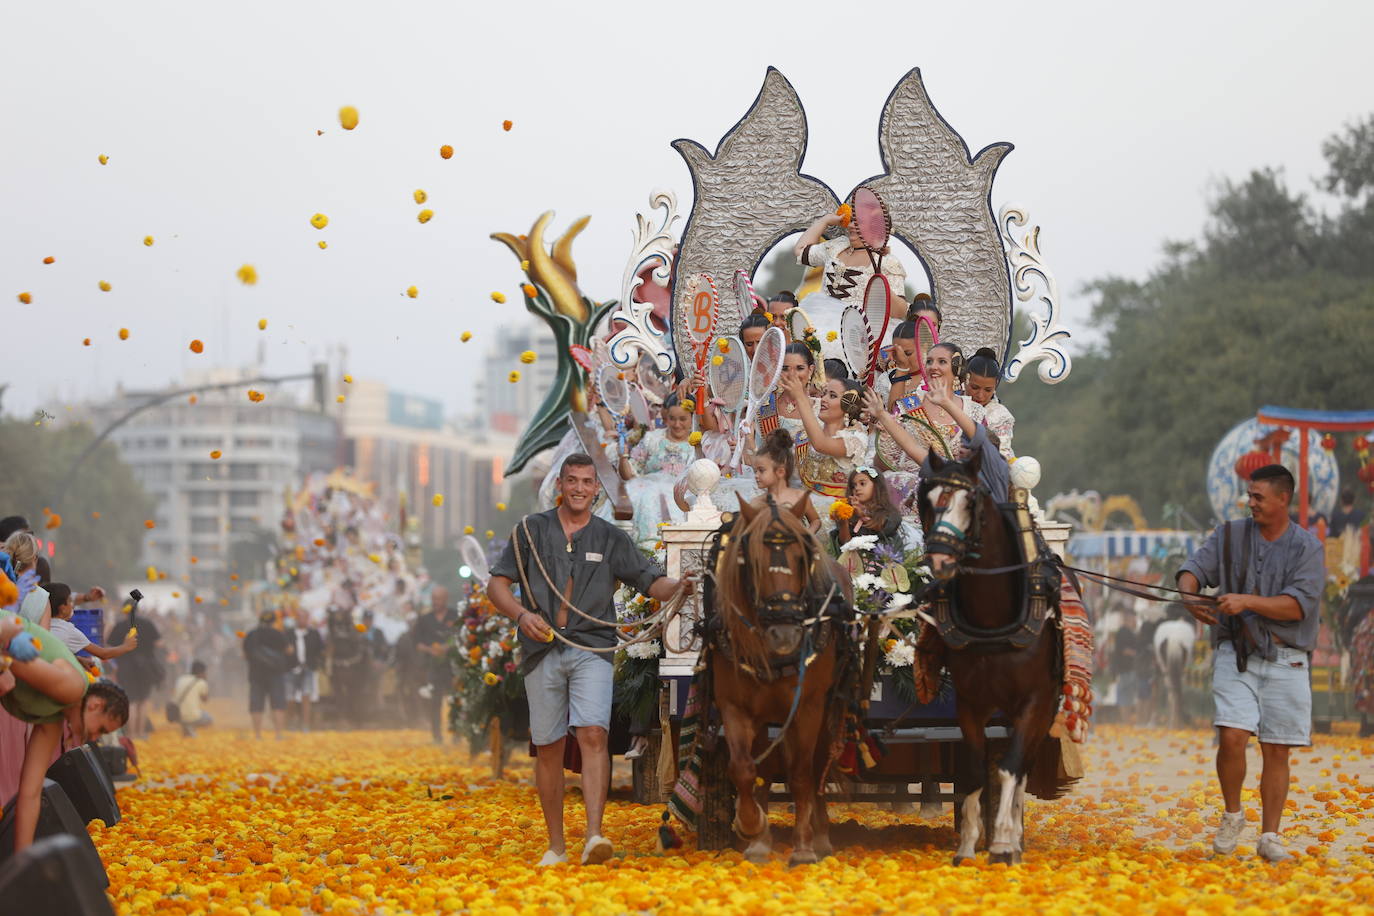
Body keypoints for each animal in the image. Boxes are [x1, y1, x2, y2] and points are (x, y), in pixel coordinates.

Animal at [708, 497, 846, 862]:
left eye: (802, 557)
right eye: (753, 561)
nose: (785, 632)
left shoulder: (808, 707)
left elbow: (801, 775)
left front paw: (803, 847)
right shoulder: (734, 706)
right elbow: (744, 769)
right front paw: (751, 825)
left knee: (816, 767)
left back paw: (821, 835)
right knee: (765, 771)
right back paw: (761, 840)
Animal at [917, 453, 1066, 867]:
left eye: (971, 502)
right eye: (926, 499)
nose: (940, 558)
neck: (992, 620)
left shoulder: (1033, 702)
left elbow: (1009, 767)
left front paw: (1000, 843)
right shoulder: (970, 704)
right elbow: (973, 770)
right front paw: (967, 846)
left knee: (1022, 764)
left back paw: (1012, 838)